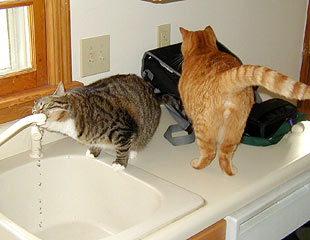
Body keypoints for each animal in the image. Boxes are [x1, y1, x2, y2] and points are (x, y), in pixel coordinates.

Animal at [32, 74, 162, 170]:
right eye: (33, 111)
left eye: (44, 105)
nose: (36, 112)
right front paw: (94, 150)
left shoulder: (122, 127)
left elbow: (122, 147)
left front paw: (120, 163)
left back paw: (132, 151)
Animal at [178, 26, 310, 176]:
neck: (203, 50)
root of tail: (224, 78)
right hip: (235, 130)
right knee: (224, 156)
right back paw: (231, 171)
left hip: (204, 129)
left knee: (210, 153)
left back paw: (197, 164)